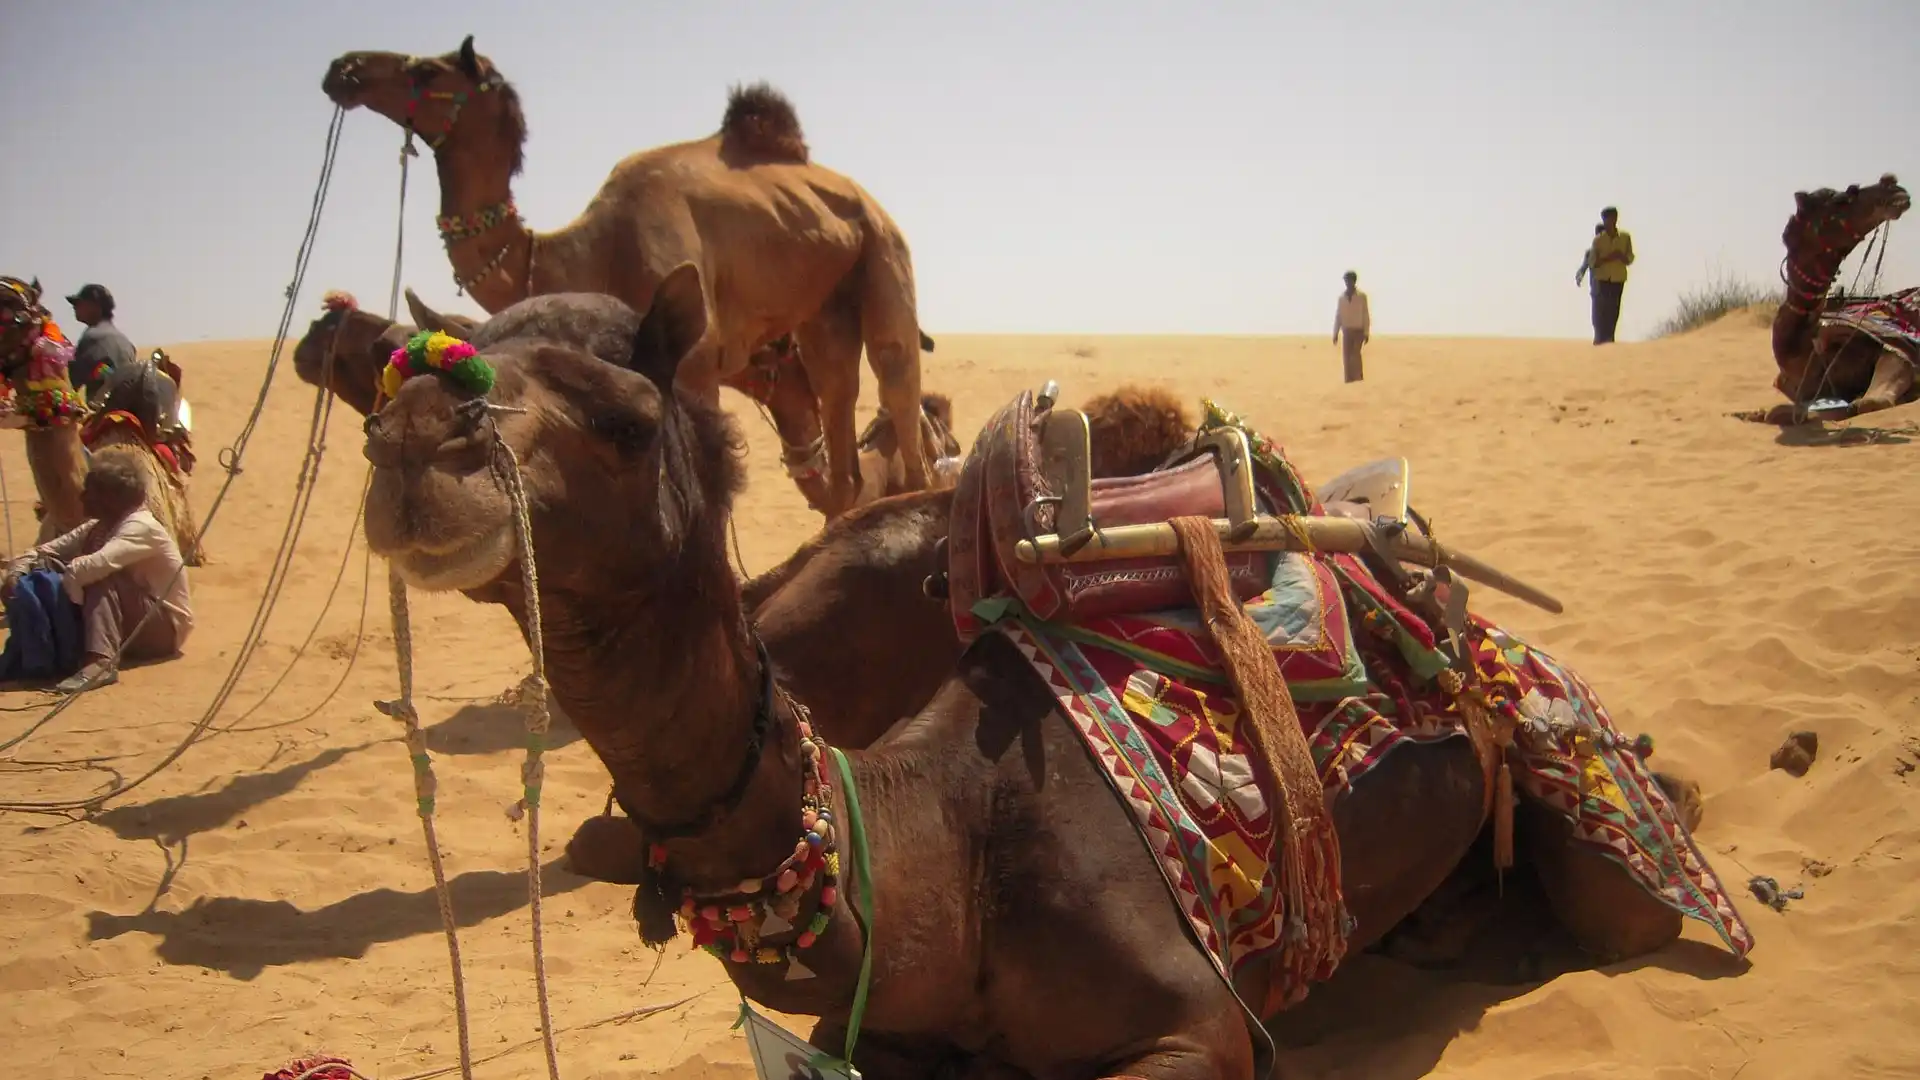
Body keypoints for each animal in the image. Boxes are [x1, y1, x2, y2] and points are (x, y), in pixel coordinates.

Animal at [322, 36, 935, 517]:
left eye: (428, 71)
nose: (343, 69)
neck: (580, 252)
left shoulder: (696, 363)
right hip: (825, 306)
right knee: (842, 421)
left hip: (884, 253)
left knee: (898, 390)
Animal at [362, 274, 1751, 1080]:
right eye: (397, 379)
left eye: (625, 418)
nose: (415, 447)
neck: (936, 848)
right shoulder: (874, 1033)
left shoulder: (1195, 1026)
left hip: (1563, 764)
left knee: (1627, 882)